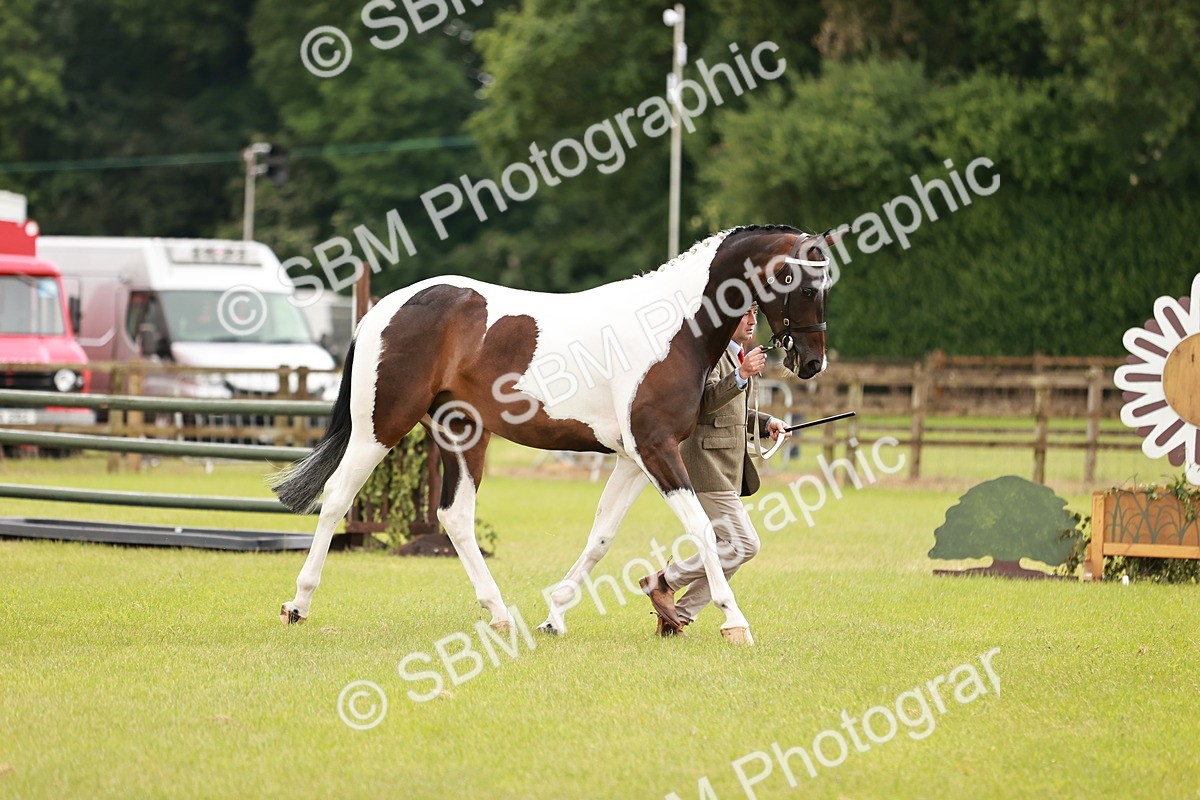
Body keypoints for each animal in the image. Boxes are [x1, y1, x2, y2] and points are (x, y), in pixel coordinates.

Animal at [272, 224, 838, 645]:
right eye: (808, 287)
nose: (812, 363)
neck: (670, 328)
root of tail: (381, 311)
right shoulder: (655, 450)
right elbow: (700, 528)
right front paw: (734, 620)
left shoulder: (635, 458)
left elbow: (602, 536)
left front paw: (555, 615)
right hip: (380, 428)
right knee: (337, 499)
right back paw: (298, 604)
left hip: (463, 434)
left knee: (455, 516)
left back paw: (500, 614)